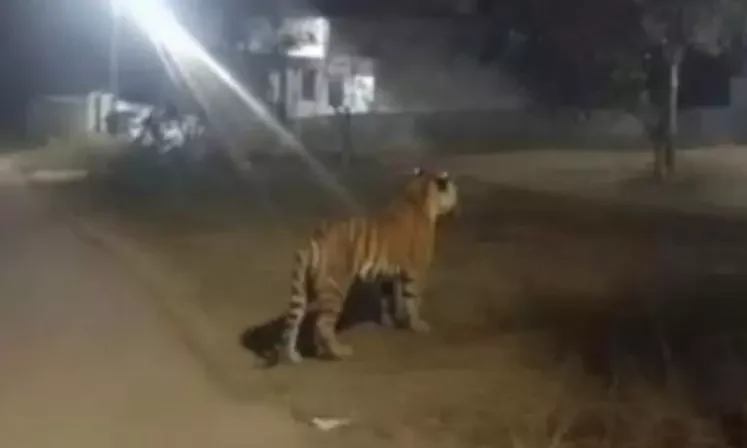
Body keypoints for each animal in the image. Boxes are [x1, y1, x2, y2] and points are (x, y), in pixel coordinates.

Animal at [273, 167, 459, 364]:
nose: (457, 204)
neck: (418, 194)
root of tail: (315, 236)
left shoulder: (387, 273)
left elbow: (387, 299)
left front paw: (389, 322)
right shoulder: (417, 271)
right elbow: (413, 300)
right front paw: (417, 325)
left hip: (302, 289)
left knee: (293, 323)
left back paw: (295, 356)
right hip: (335, 288)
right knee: (322, 325)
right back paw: (340, 351)